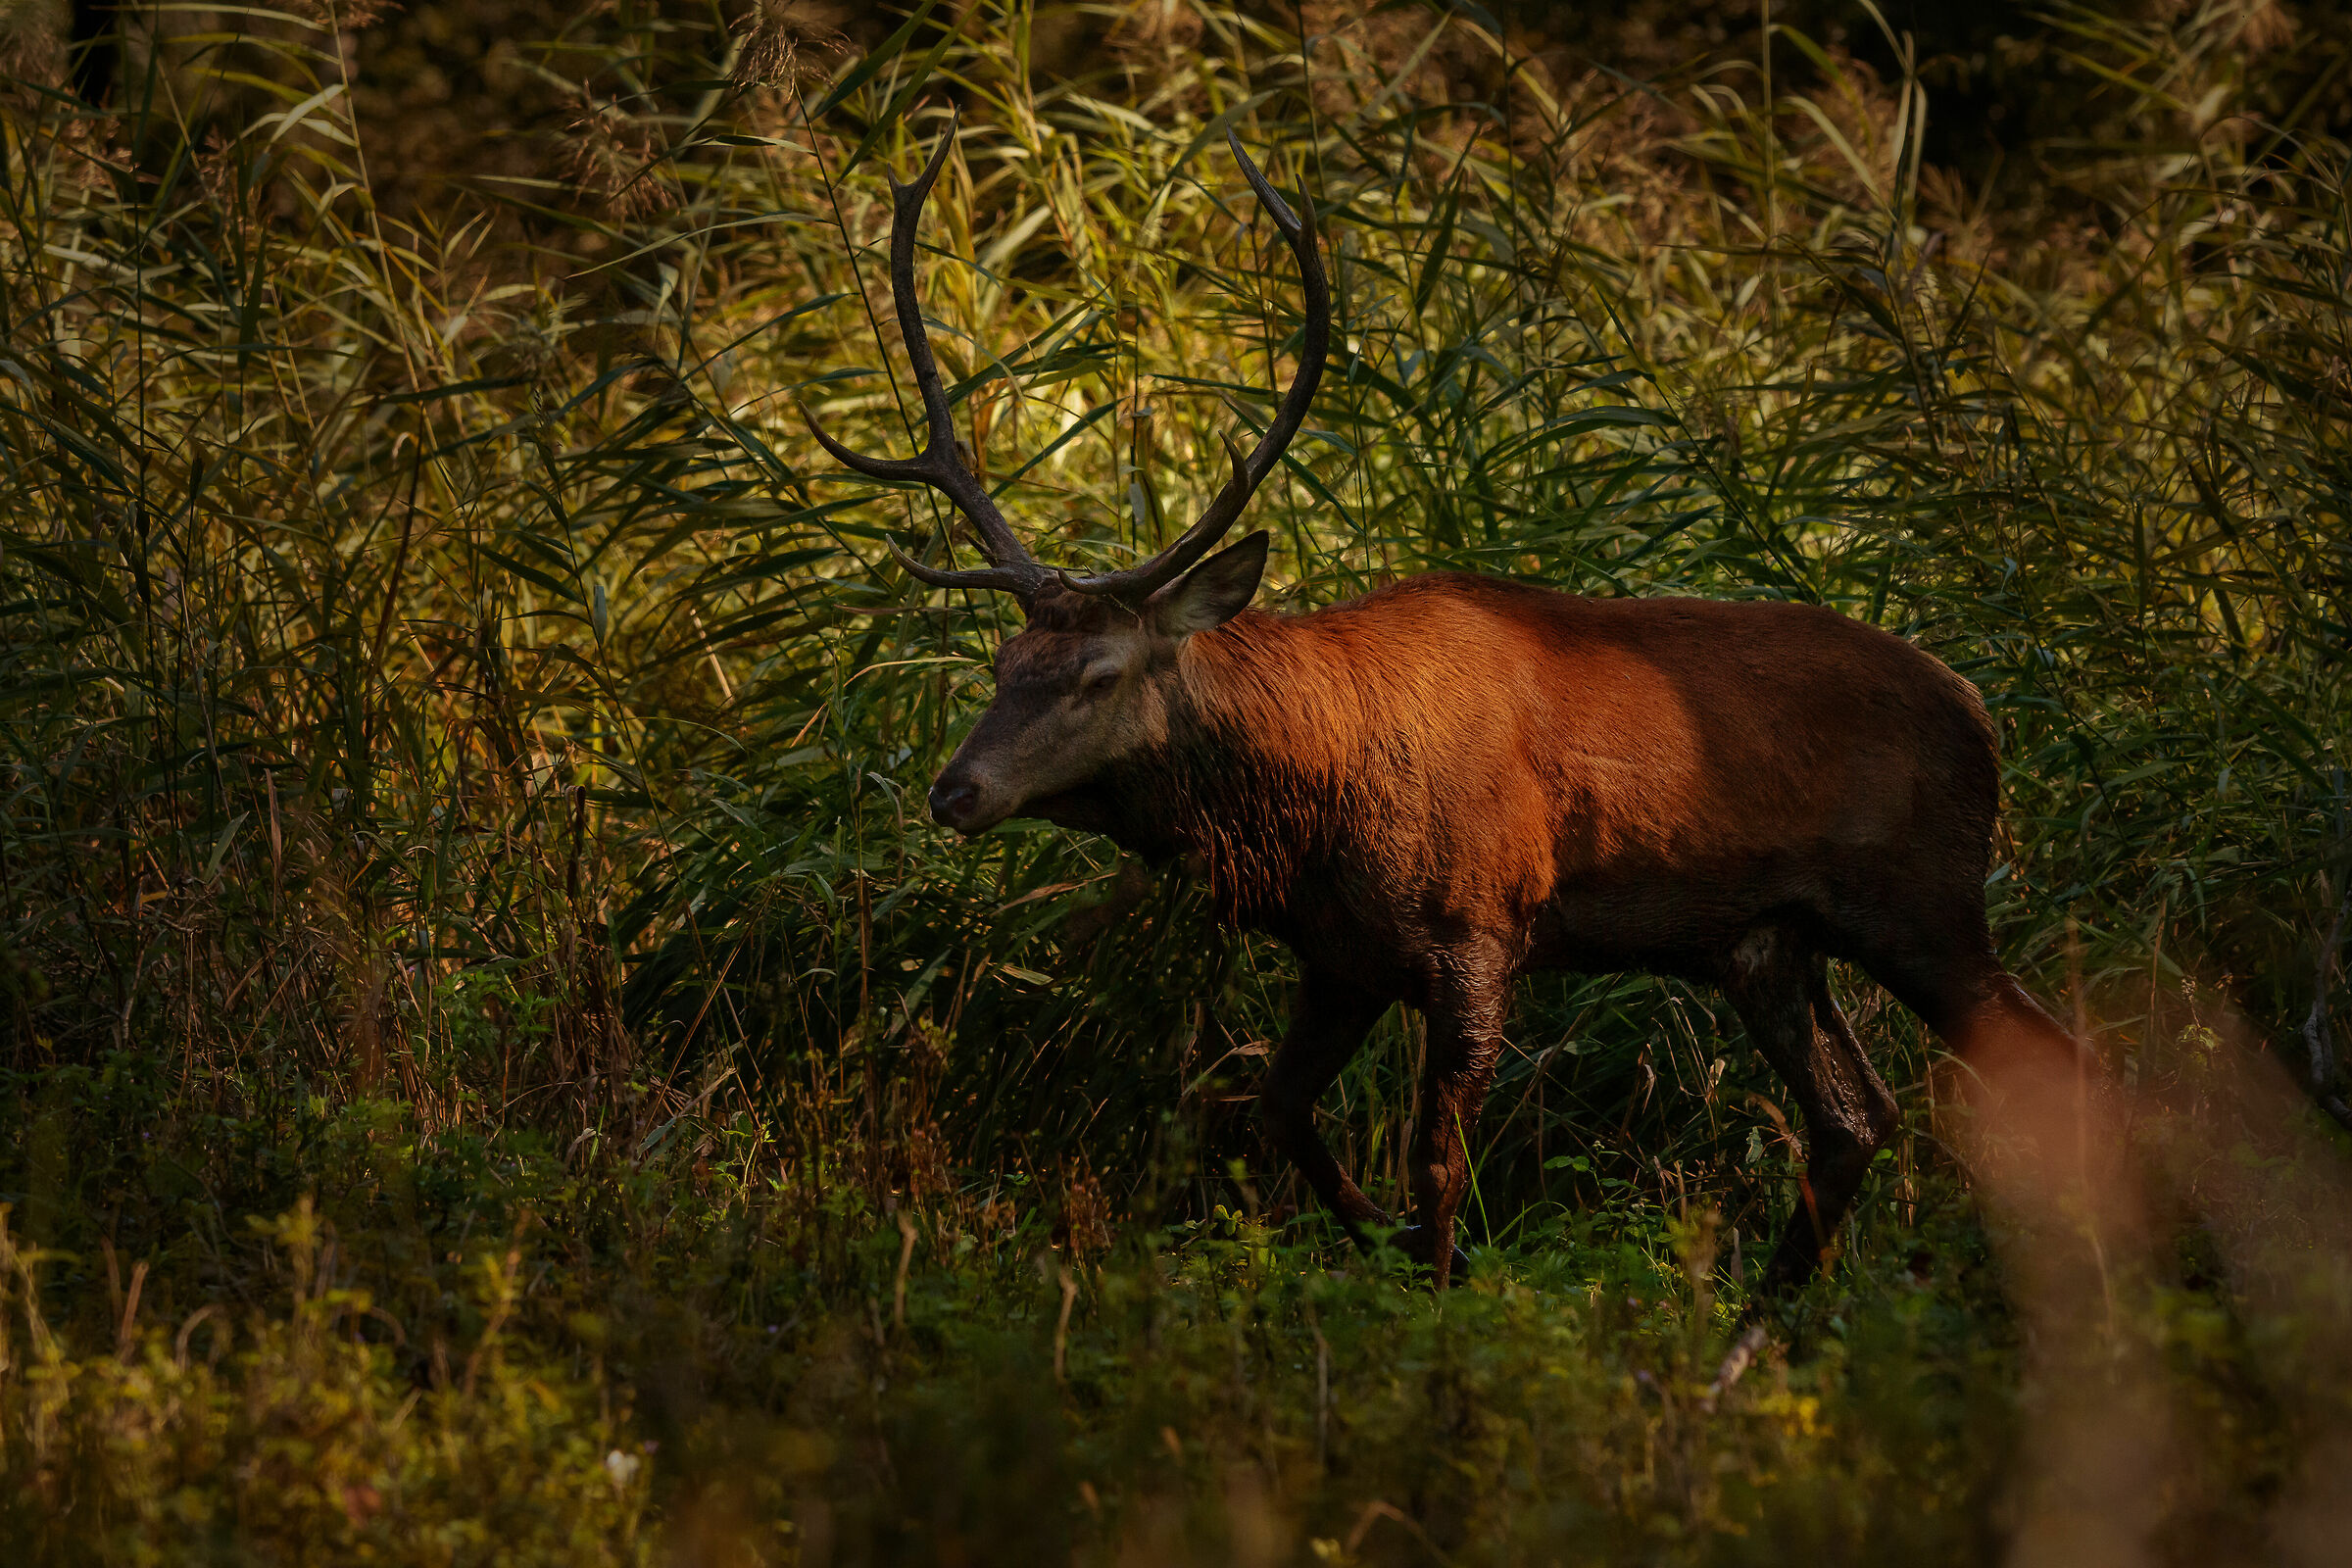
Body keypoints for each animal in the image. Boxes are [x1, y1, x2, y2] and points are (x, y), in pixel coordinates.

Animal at [804, 124, 2087, 1293]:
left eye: (1099, 673)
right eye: (1002, 660)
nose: (955, 789)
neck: (1307, 809)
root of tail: (1985, 716)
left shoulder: (1479, 929)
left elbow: (1434, 1160)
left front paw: (1440, 1287)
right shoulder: (1343, 955)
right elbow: (1274, 1110)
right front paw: (1396, 1244)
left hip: (1922, 901)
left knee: (2053, 1063)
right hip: (1766, 939)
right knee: (1854, 1117)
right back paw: (1758, 1334)